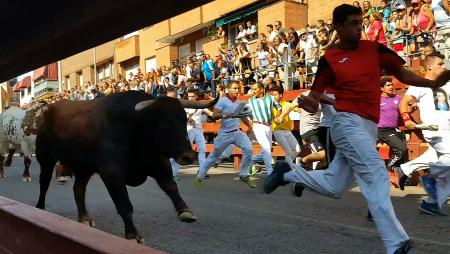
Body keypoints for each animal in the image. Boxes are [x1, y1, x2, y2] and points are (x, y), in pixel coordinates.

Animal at [34, 91, 218, 242]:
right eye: (164, 123)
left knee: (78, 190)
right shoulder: (111, 172)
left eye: (184, 119)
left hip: (84, 167)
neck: (135, 129)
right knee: (44, 184)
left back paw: (85, 218)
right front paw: (132, 234)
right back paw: (40, 208)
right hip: (46, 158)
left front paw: (185, 211)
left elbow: (171, 187)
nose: (188, 156)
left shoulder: (159, 163)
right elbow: (124, 204)